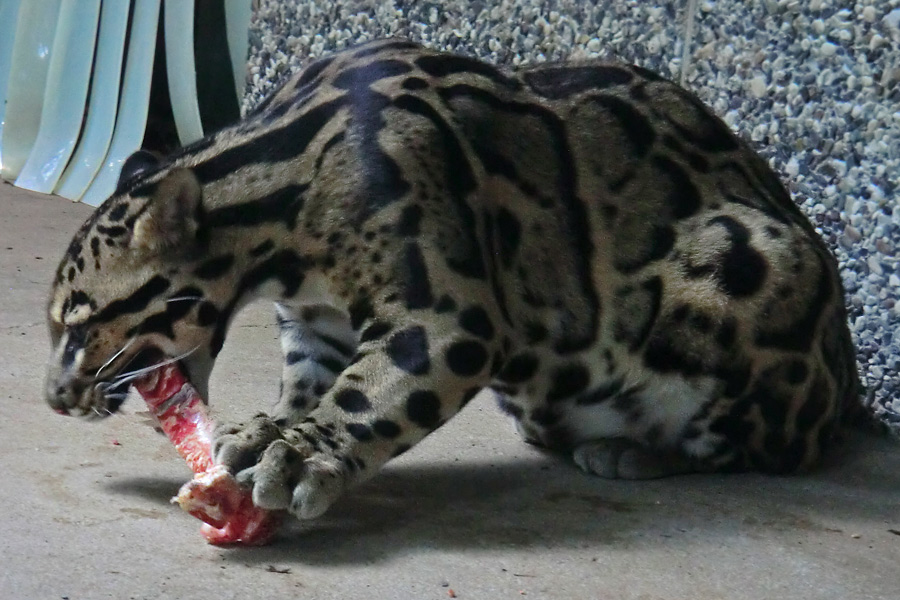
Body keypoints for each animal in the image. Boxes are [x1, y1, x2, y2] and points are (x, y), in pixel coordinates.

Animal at [47, 39, 856, 524]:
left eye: (80, 323)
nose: (53, 397)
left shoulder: (446, 314)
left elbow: (369, 396)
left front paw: (303, 450)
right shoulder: (315, 321)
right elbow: (310, 380)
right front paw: (276, 423)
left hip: (749, 263)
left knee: (777, 449)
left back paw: (641, 450)